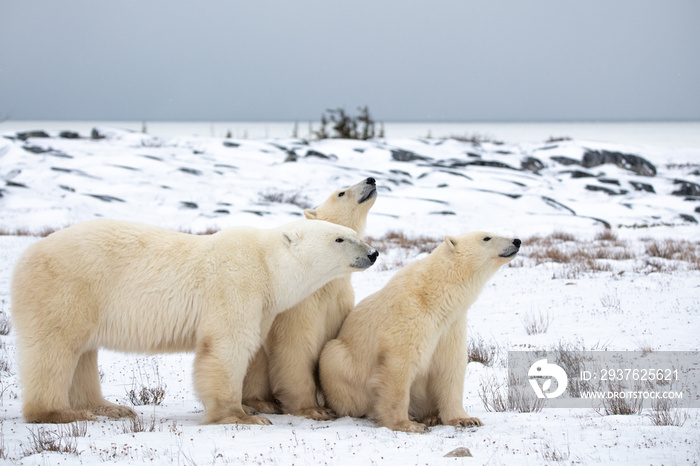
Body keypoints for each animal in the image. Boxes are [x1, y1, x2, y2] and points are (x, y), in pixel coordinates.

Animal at [10, 218, 378, 426]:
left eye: (352, 233)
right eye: (339, 239)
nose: (373, 253)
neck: (267, 265)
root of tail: (25, 256)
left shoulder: (263, 305)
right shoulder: (236, 285)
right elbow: (228, 346)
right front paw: (243, 416)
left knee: (83, 353)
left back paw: (110, 408)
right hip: (68, 288)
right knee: (55, 348)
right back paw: (59, 413)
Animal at [245, 177, 378, 420]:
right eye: (341, 193)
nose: (371, 179)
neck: (325, 282)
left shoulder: (338, 304)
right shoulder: (300, 306)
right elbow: (296, 346)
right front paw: (314, 409)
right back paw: (261, 403)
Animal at [320, 233, 516, 434]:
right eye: (487, 237)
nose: (516, 241)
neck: (435, 295)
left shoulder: (450, 327)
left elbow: (451, 367)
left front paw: (466, 420)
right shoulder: (409, 317)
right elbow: (399, 368)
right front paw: (408, 424)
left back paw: (431, 416)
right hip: (341, 362)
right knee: (336, 360)